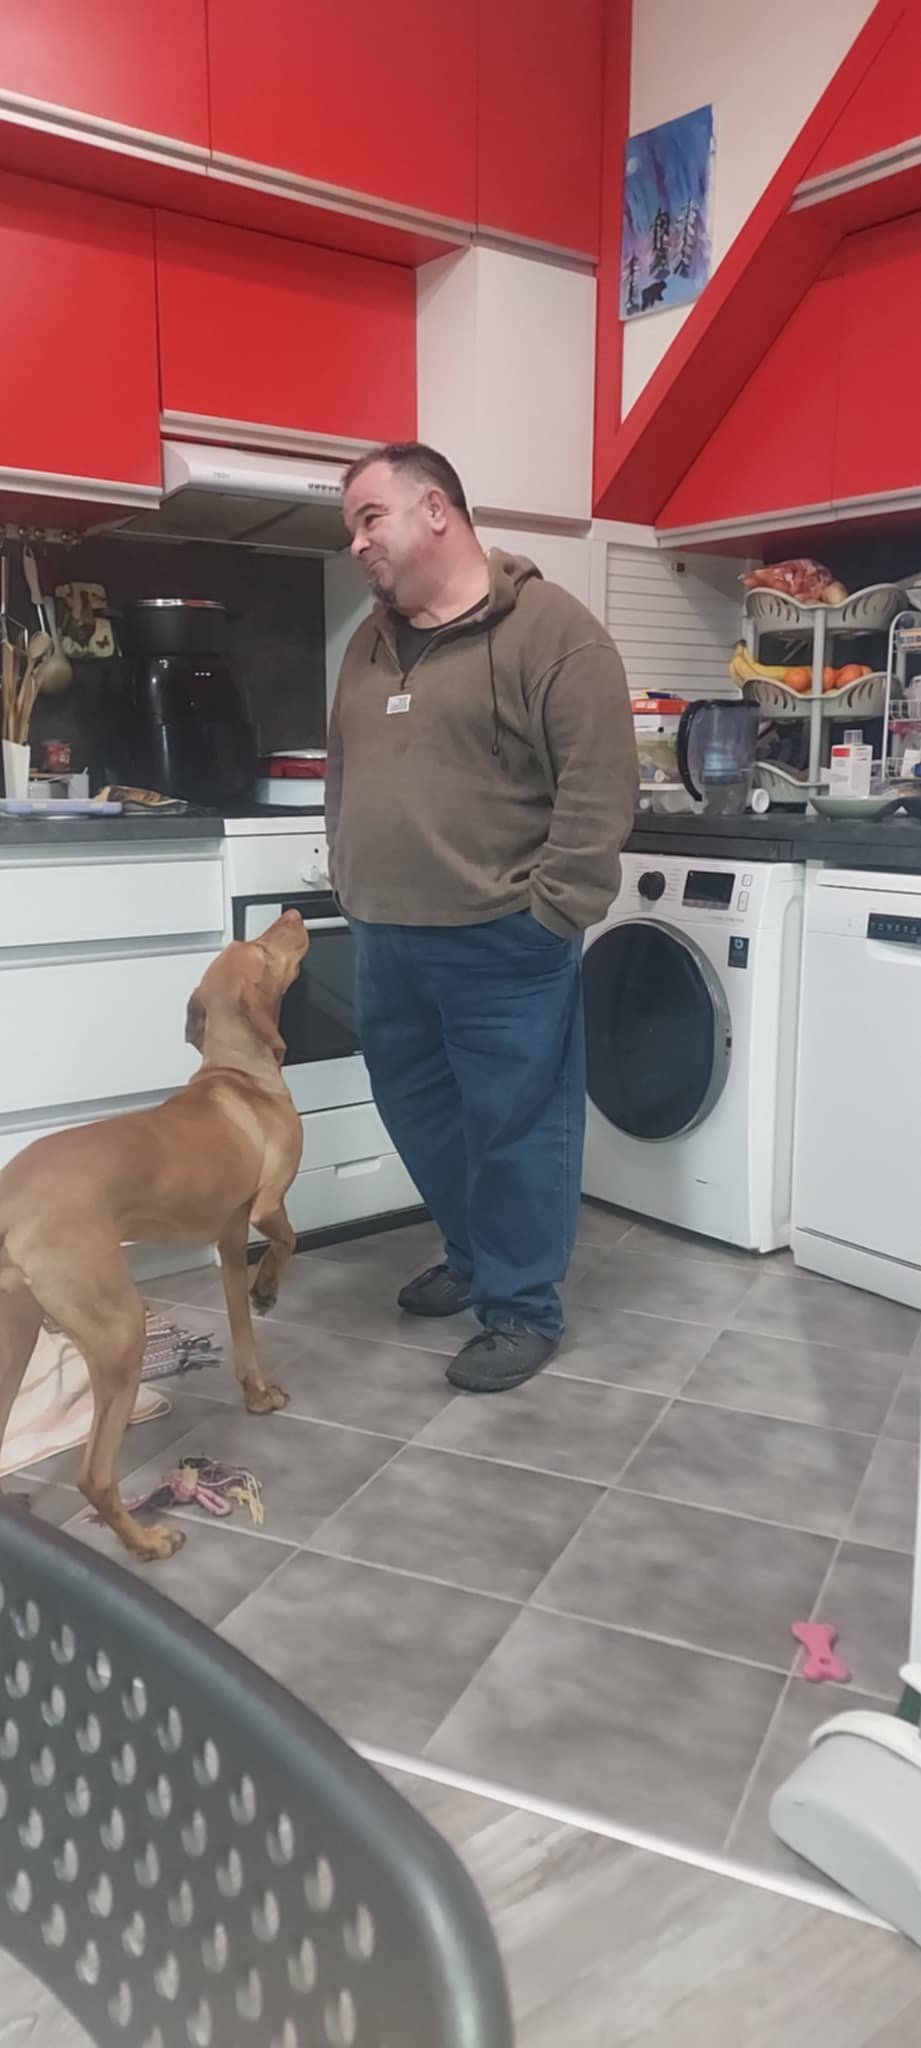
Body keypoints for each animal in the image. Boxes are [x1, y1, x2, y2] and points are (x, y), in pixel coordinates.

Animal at [0, 909, 308, 1563]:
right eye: (263, 947)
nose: (294, 914)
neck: (237, 1075)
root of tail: (9, 1201)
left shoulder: (229, 1239)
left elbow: (242, 1332)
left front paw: (256, 1393)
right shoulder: (268, 1206)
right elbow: (288, 1242)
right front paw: (269, 1292)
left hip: (14, 1339)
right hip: (120, 1334)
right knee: (94, 1474)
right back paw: (147, 1541)